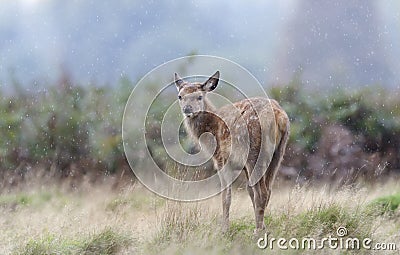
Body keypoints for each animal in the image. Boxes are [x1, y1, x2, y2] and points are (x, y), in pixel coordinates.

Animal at [173, 70, 290, 233]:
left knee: (262, 192)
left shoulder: (221, 160)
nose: (187, 109)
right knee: (267, 190)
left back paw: (257, 231)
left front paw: (224, 229)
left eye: (199, 96)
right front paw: (263, 226)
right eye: (180, 96)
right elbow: (249, 191)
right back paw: (260, 227)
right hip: (278, 153)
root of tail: (279, 116)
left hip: (254, 152)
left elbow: (226, 196)